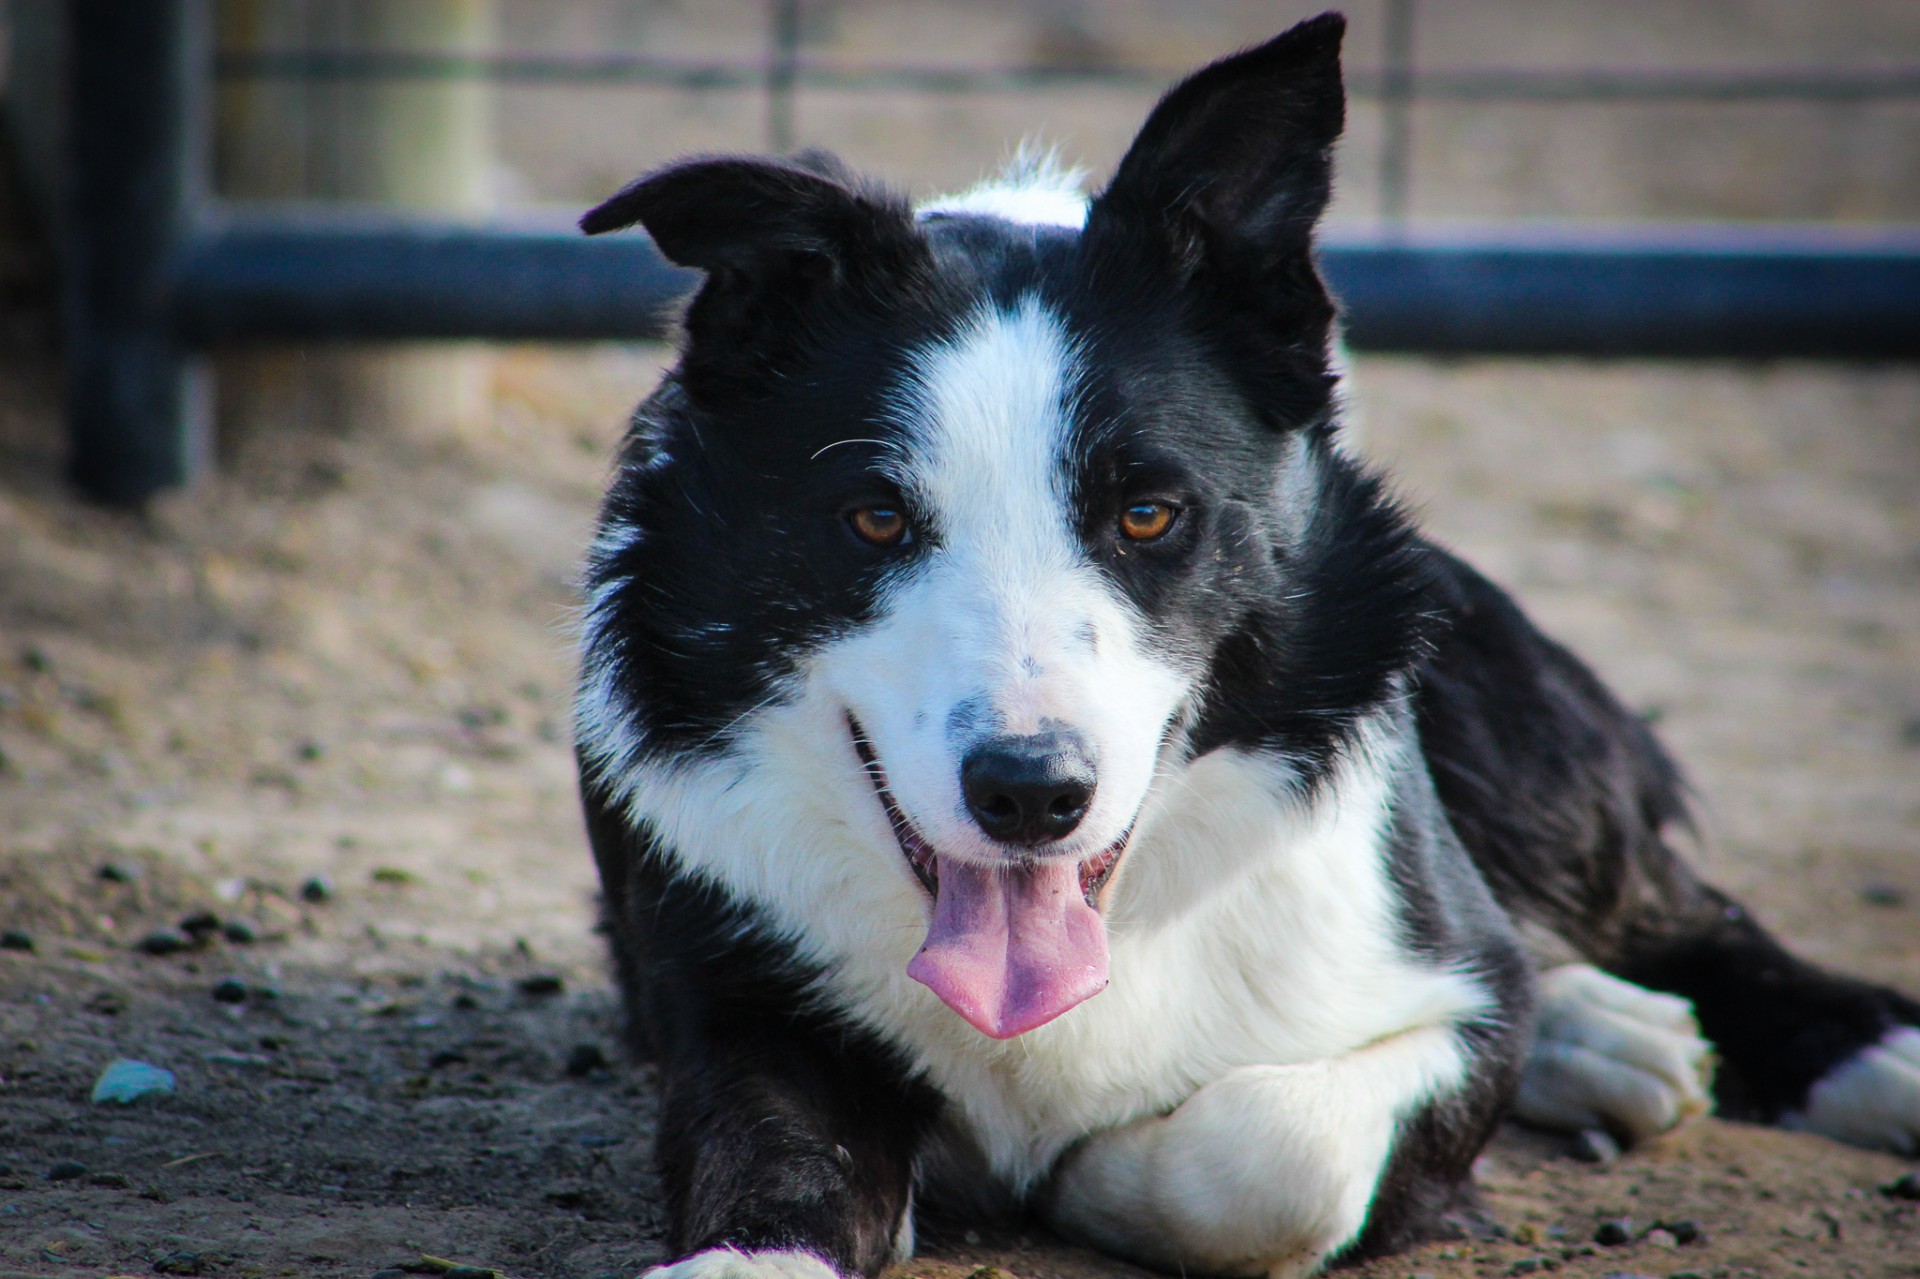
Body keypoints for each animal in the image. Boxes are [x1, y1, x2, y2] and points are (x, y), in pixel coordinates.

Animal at [576, 12, 1920, 1275]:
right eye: (874, 517)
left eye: (1149, 513)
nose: (1031, 795)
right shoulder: (732, 1004)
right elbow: (776, 1155)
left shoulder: (1457, 1016)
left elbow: (1270, 1149)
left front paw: (1096, 1175)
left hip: (1500, 703)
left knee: (1676, 906)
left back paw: (1861, 1047)